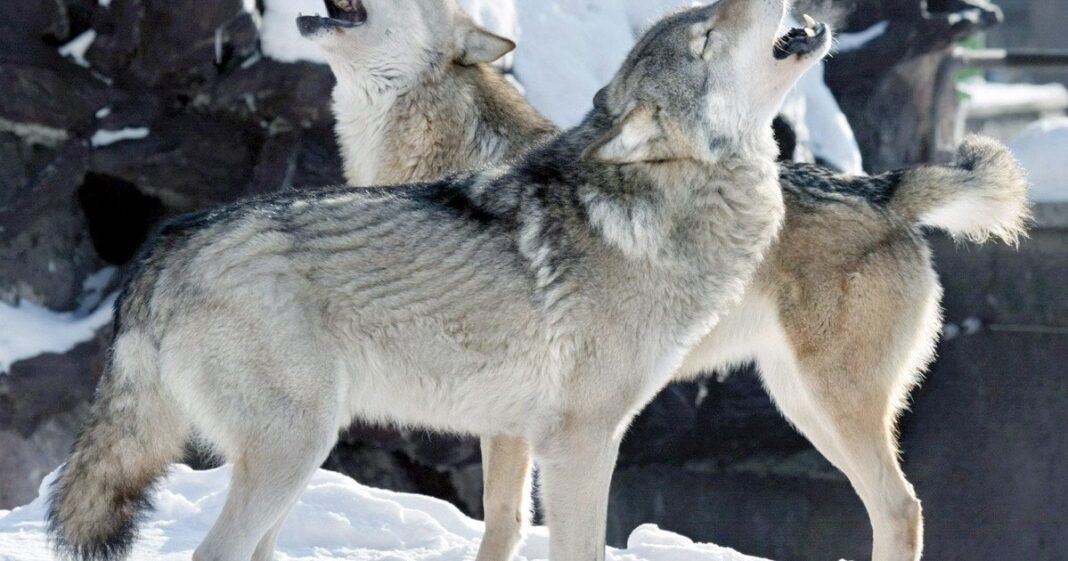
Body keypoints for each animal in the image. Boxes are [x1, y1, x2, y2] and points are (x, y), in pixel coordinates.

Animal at [300, 2, 1031, 561]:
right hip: (799, 402)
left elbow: (502, 519)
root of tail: (884, 188)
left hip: (832, 401)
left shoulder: (514, 418)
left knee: (901, 507)